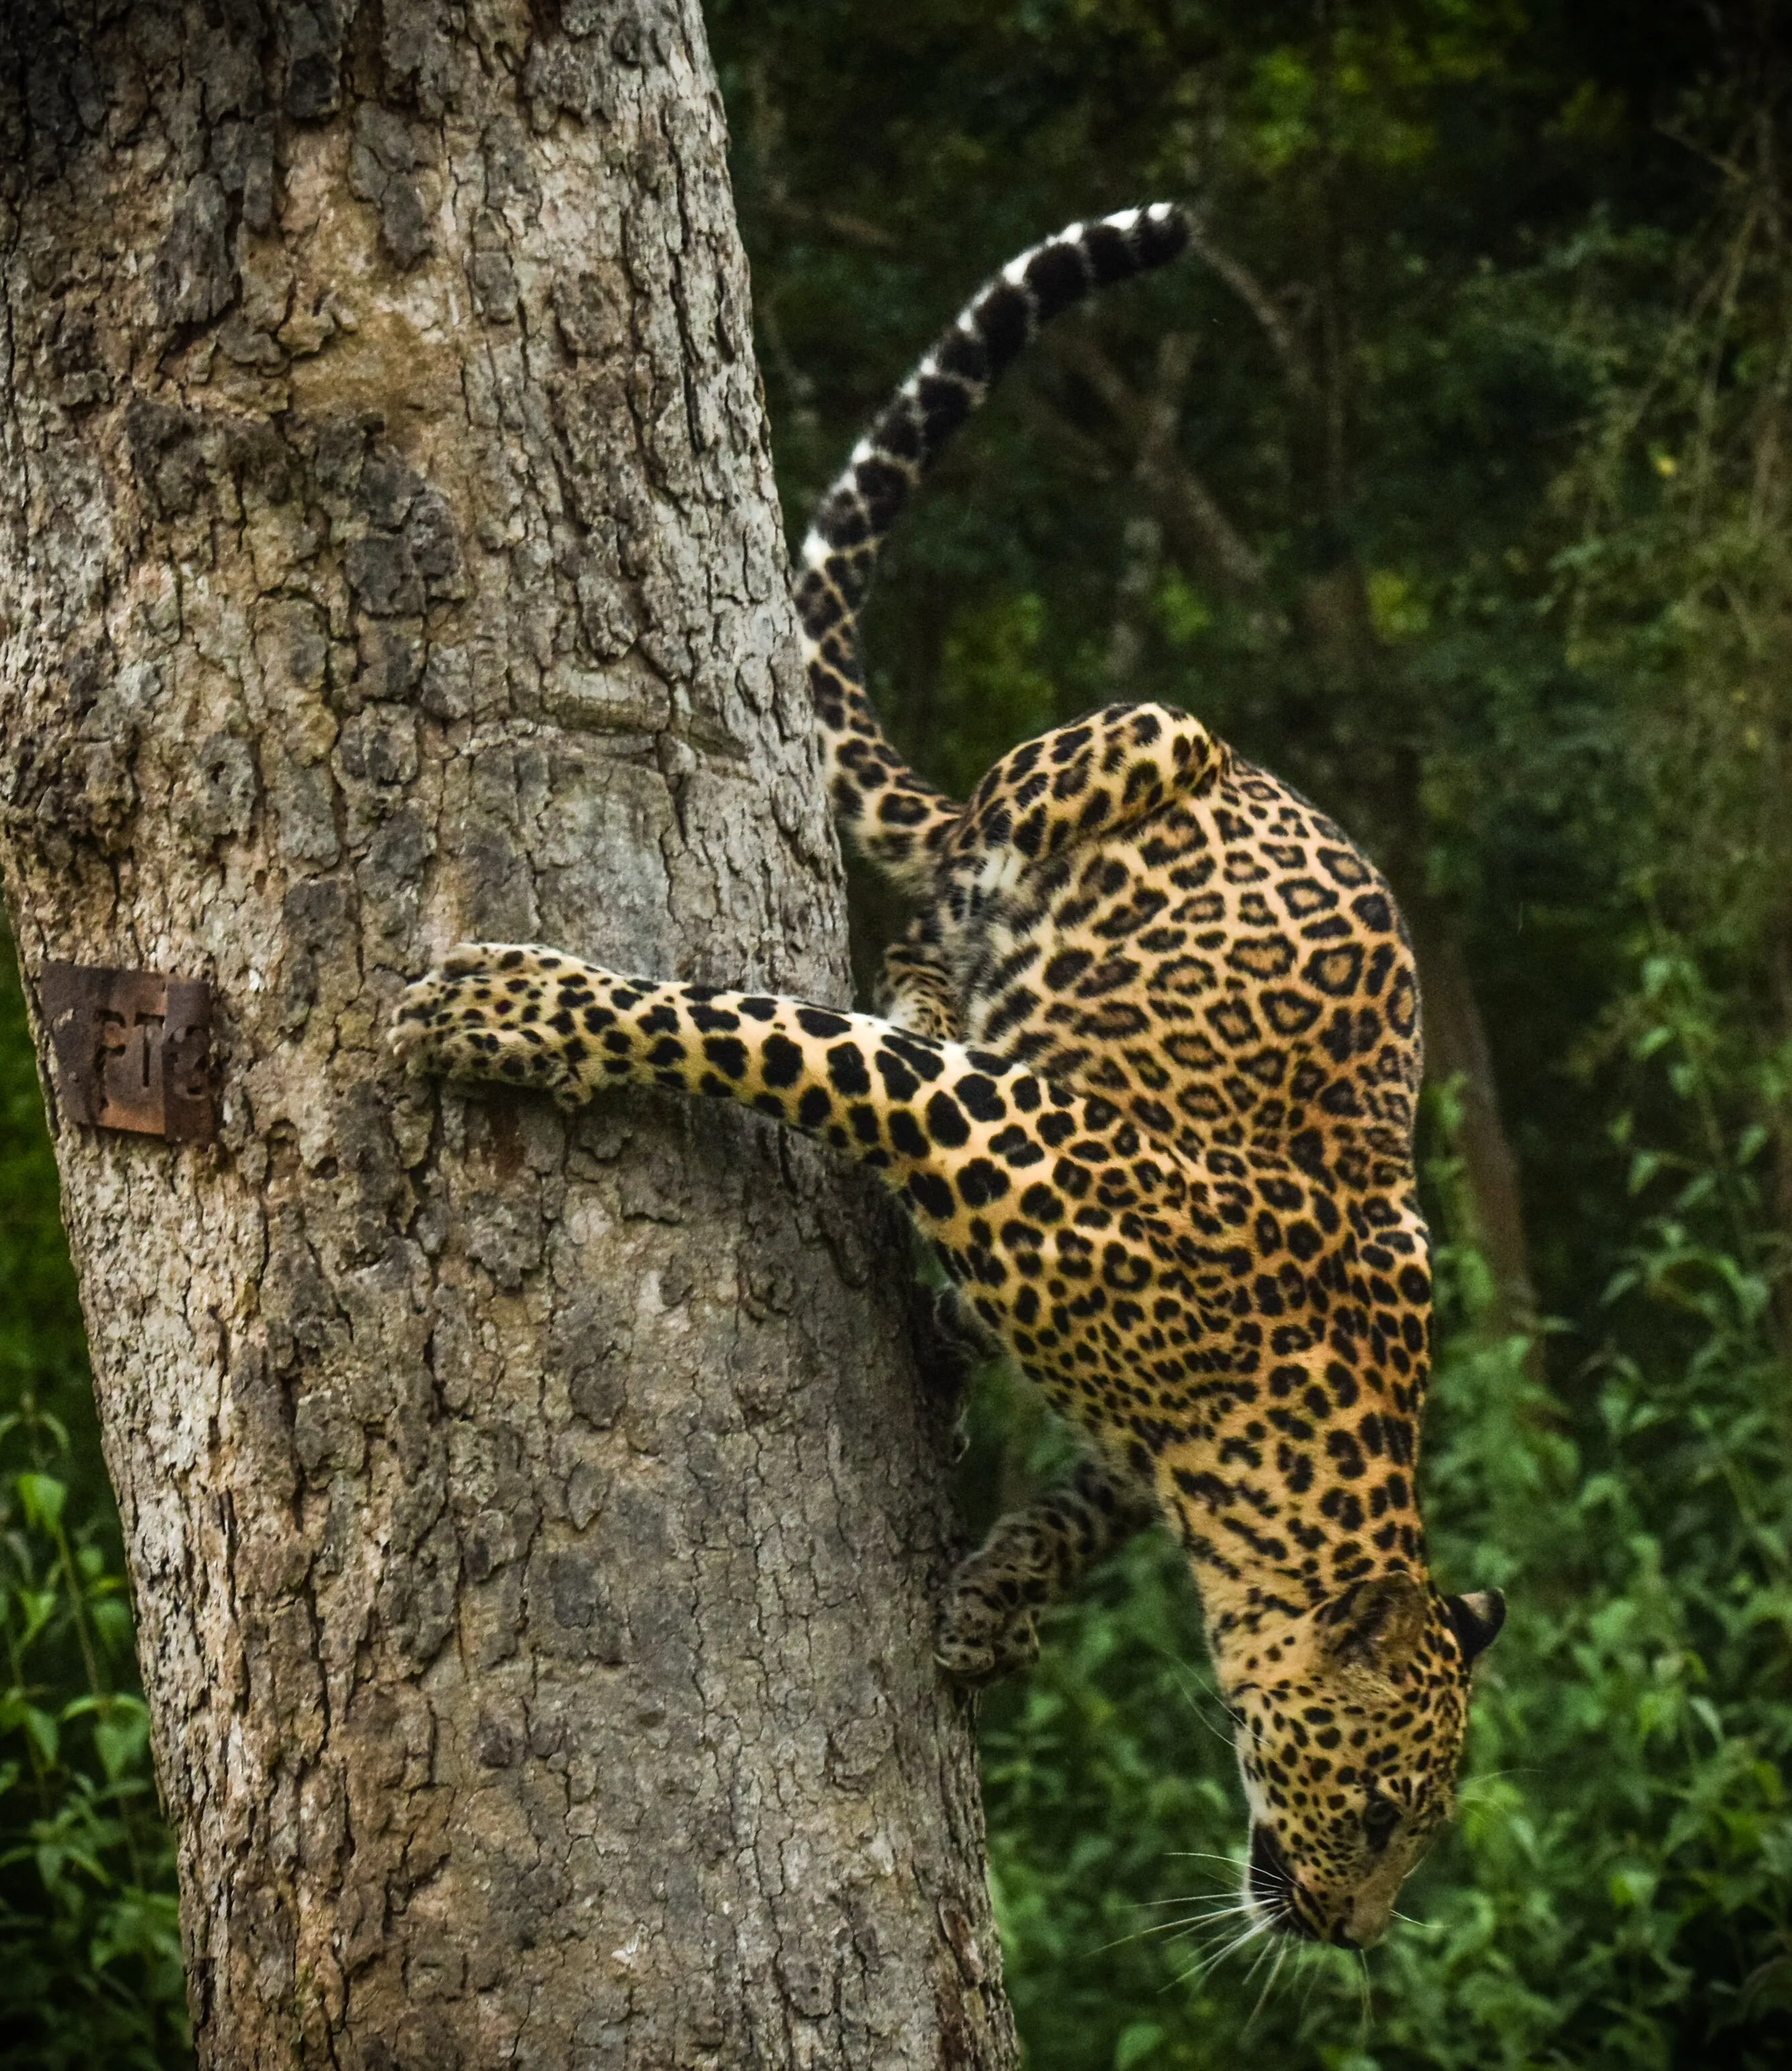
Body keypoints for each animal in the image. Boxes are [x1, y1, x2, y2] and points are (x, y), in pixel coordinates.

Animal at [393, 203, 1506, 1952]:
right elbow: (753, 1030)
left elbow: (1083, 1505)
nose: (1354, 1933)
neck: (1256, 1454)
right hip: (1133, 738)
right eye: (1388, 1808)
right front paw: (514, 1007)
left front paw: (994, 1602)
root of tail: (1272, 779)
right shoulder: (981, 1122)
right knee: (946, 892)